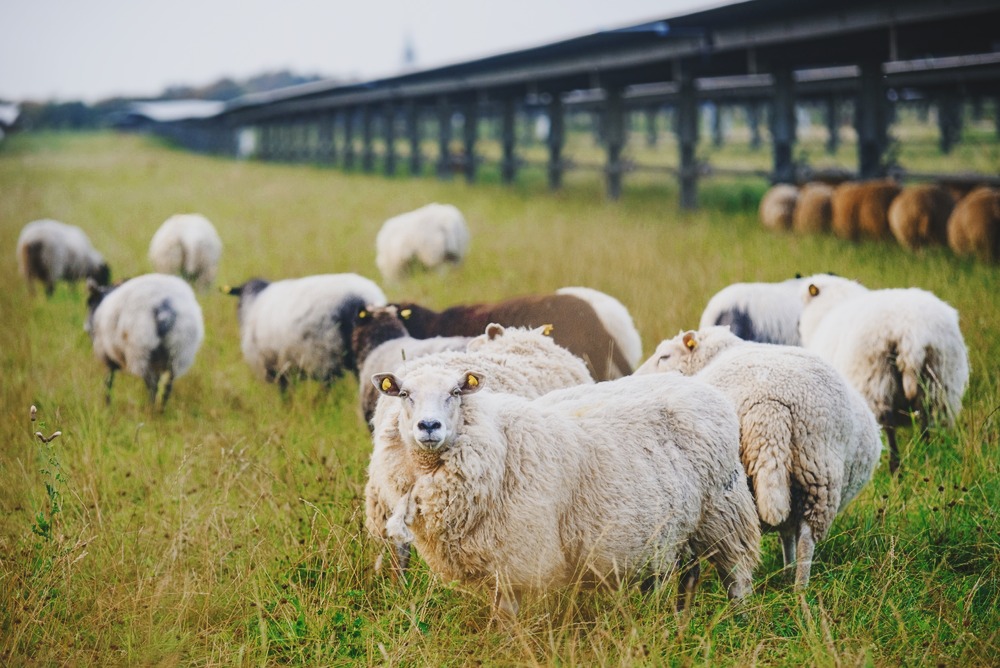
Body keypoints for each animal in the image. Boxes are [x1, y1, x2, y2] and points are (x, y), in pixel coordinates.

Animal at [85, 273, 203, 410]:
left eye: (89, 302)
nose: (86, 327)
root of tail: (164, 307)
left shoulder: (107, 355)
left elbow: (108, 381)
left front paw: (107, 406)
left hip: (141, 350)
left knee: (152, 385)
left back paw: (151, 410)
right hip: (179, 352)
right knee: (167, 386)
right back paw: (160, 410)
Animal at [366, 367, 761, 616]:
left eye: (456, 392)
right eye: (404, 394)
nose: (428, 426)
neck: (497, 443)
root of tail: (703, 388)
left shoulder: (520, 557)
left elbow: (508, 616)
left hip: (724, 511)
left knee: (737, 574)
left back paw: (737, 620)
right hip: (679, 529)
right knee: (687, 576)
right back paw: (678, 623)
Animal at [634, 326, 881, 588]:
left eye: (664, 356)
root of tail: (770, 404)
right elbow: (786, 533)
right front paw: (787, 567)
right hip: (818, 470)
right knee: (805, 536)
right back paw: (798, 585)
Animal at [798, 274, 969, 473]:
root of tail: (911, 333)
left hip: (874, 380)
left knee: (888, 424)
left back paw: (895, 467)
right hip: (939, 381)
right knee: (926, 420)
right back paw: (927, 458)